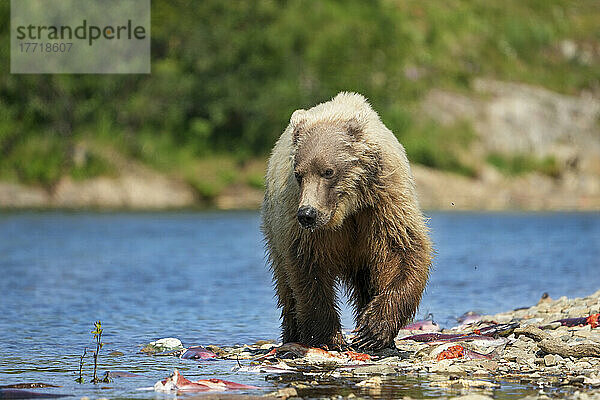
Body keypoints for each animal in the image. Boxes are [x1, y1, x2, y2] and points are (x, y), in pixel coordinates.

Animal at [262, 93, 432, 350]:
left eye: (328, 171)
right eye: (299, 174)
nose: (308, 214)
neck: (348, 207)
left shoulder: (384, 202)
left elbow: (402, 250)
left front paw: (373, 329)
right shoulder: (301, 223)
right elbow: (309, 272)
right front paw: (328, 337)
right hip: (274, 233)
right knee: (286, 287)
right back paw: (293, 334)